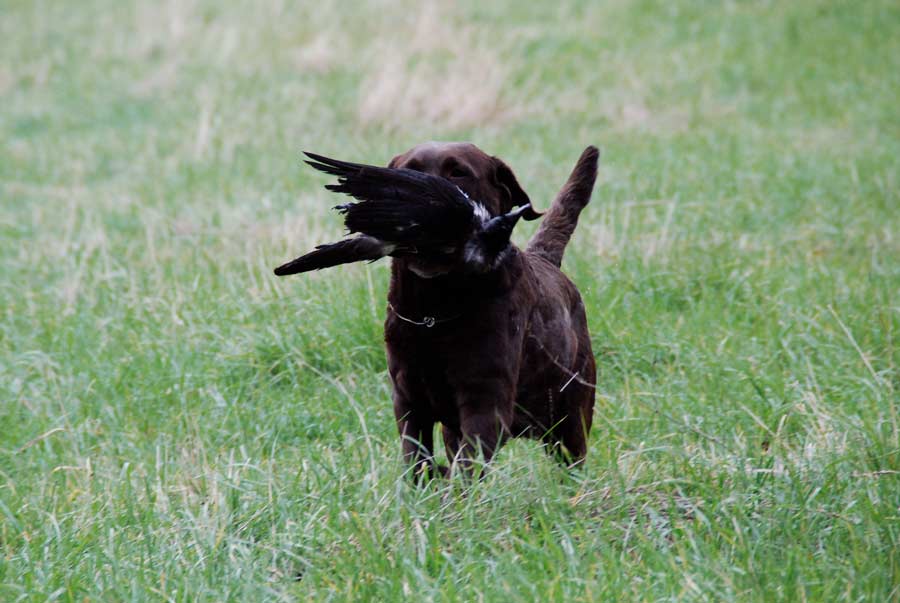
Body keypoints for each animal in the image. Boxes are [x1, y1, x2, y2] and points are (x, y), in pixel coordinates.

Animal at [384, 143, 600, 476]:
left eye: (459, 172)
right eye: (410, 171)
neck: (434, 311)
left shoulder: (486, 401)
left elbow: (467, 465)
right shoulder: (408, 399)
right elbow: (417, 460)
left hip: (571, 414)